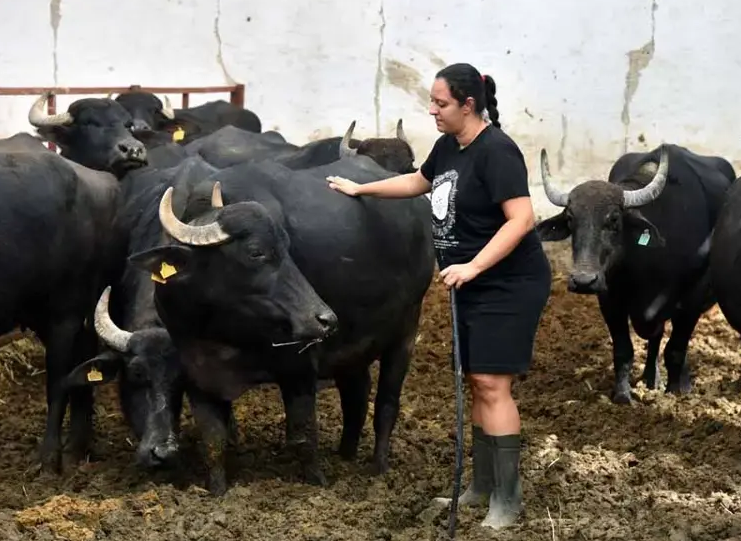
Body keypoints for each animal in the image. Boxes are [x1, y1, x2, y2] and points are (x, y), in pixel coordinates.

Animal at [127, 153, 434, 494]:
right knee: (356, 394)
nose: (324, 319)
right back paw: (346, 455)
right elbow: (213, 441)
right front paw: (218, 491)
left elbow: (303, 436)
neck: (223, 332)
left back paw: (379, 469)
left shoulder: (299, 367)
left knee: (386, 403)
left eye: (287, 249)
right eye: (255, 252)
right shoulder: (198, 375)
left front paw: (318, 483)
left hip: (406, 332)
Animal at [536, 146, 732, 402]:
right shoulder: (610, 300)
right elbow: (623, 350)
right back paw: (651, 378)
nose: (583, 281)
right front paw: (622, 396)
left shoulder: (692, 300)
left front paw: (674, 393)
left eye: (614, 219)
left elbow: (676, 350)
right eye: (570, 219)